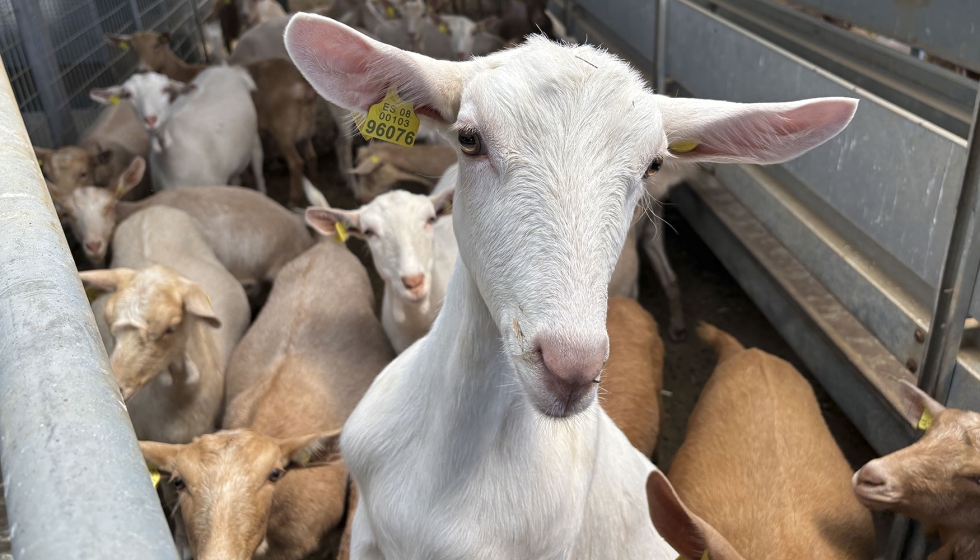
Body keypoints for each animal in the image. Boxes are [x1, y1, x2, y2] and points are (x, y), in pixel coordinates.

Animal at [90, 68, 266, 193]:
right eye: (127, 94)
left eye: (166, 89)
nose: (151, 120)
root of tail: (227, 69)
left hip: (254, 137)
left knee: (258, 165)